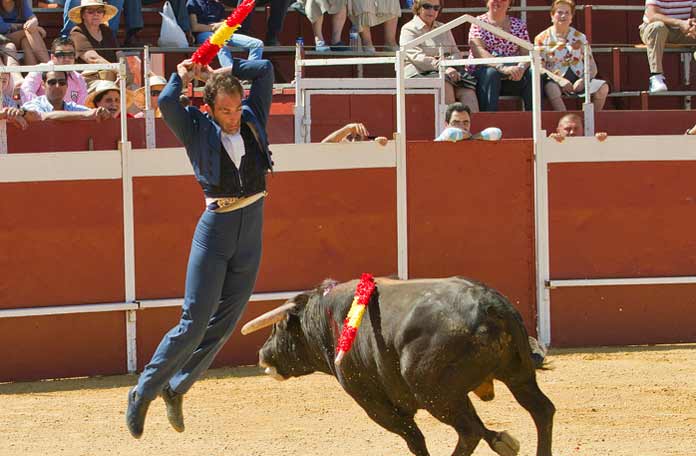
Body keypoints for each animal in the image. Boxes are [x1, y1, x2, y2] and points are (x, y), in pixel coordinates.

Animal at [242, 278, 556, 456]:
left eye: (279, 327)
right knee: (541, 411)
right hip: (517, 377)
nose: (262, 355)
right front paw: (504, 441)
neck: (326, 318)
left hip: (434, 394)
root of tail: (491, 305)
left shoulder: (374, 403)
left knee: (469, 431)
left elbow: (414, 439)